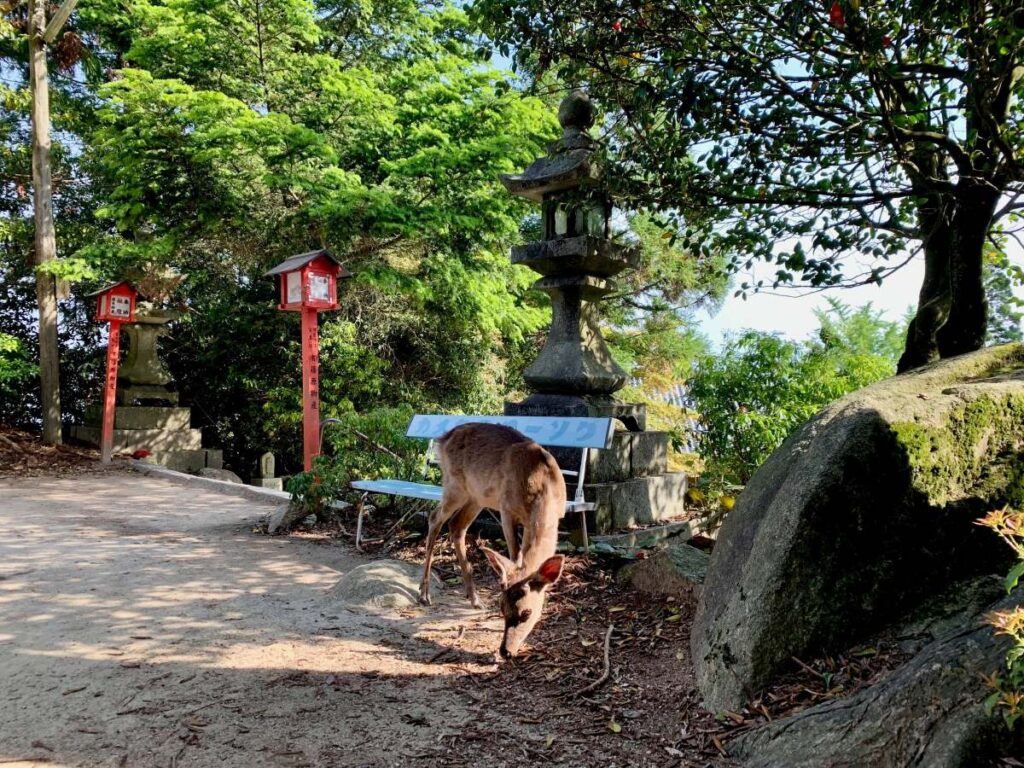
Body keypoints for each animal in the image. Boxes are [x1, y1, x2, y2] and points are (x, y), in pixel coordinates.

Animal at [418, 422, 566, 658]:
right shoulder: (506, 509)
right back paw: (424, 594)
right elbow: (515, 555)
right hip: (454, 485)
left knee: (457, 525)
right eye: (502, 607)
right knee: (435, 518)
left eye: (527, 612)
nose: (506, 651)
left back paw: (474, 599)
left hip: (476, 496)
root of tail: (443, 438)